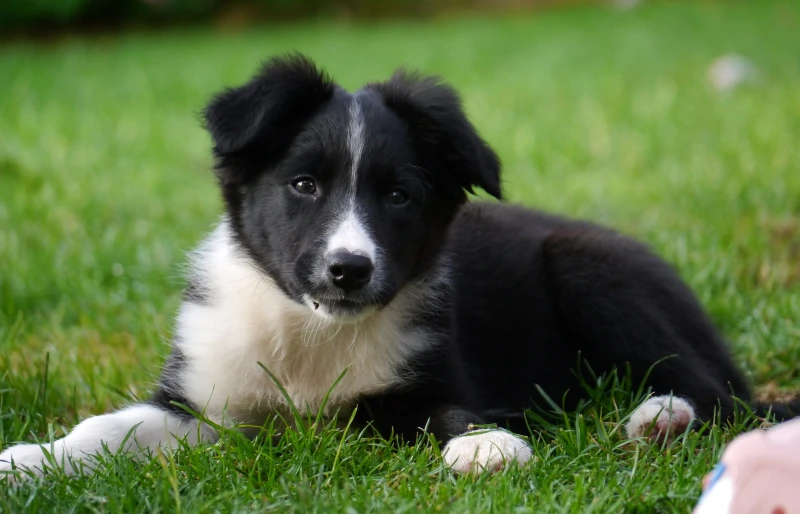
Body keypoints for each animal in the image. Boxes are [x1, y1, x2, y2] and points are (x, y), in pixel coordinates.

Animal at [0, 53, 792, 476]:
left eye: (398, 195)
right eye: (304, 185)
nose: (349, 270)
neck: (309, 336)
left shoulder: (423, 383)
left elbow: (446, 410)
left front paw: (487, 444)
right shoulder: (205, 406)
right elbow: (110, 427)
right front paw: (30, 459)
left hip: (590, 269)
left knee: (722, 396)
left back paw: (660, 418)